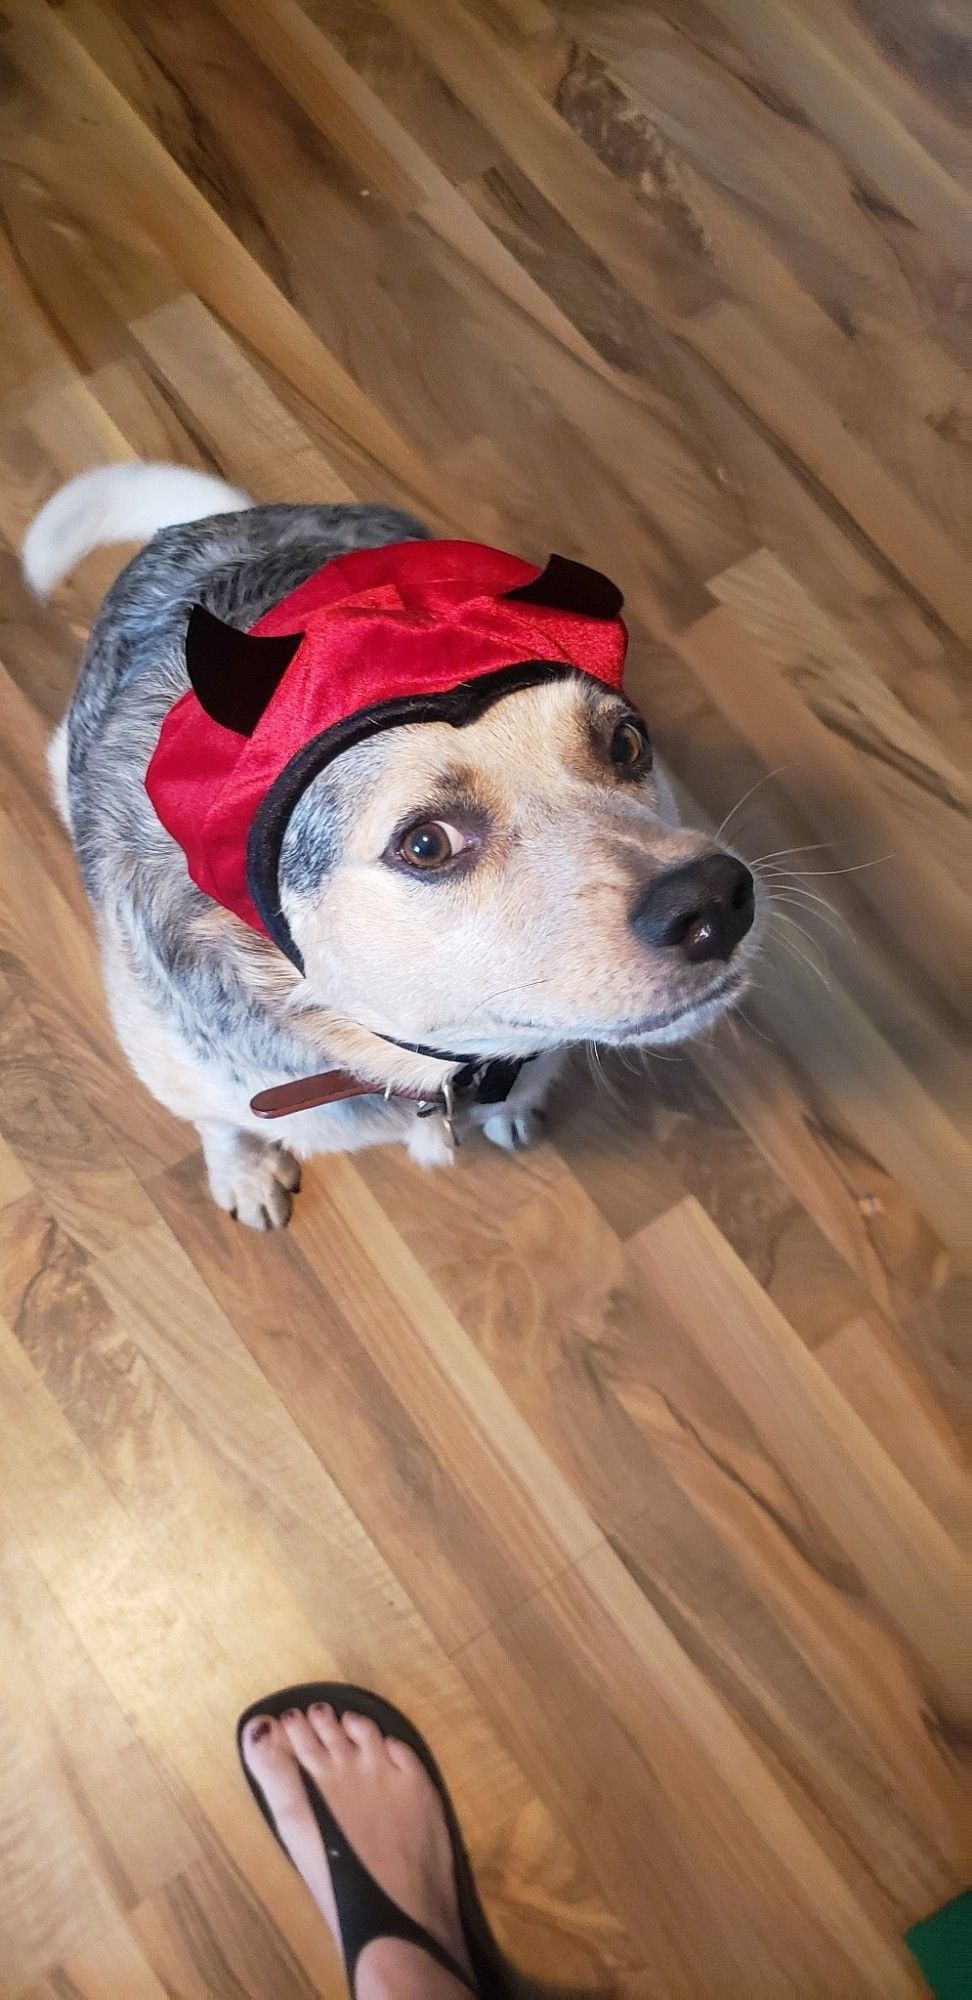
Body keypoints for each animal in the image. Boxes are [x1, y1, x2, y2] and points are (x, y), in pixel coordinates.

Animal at [22, 460, 764, 1224]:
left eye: (625, 743)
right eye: (427, 844)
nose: (715, 900)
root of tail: (224, 522)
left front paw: (516, 1106)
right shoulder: (186, 1071)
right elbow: (220, 1123)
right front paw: (244, 1170)